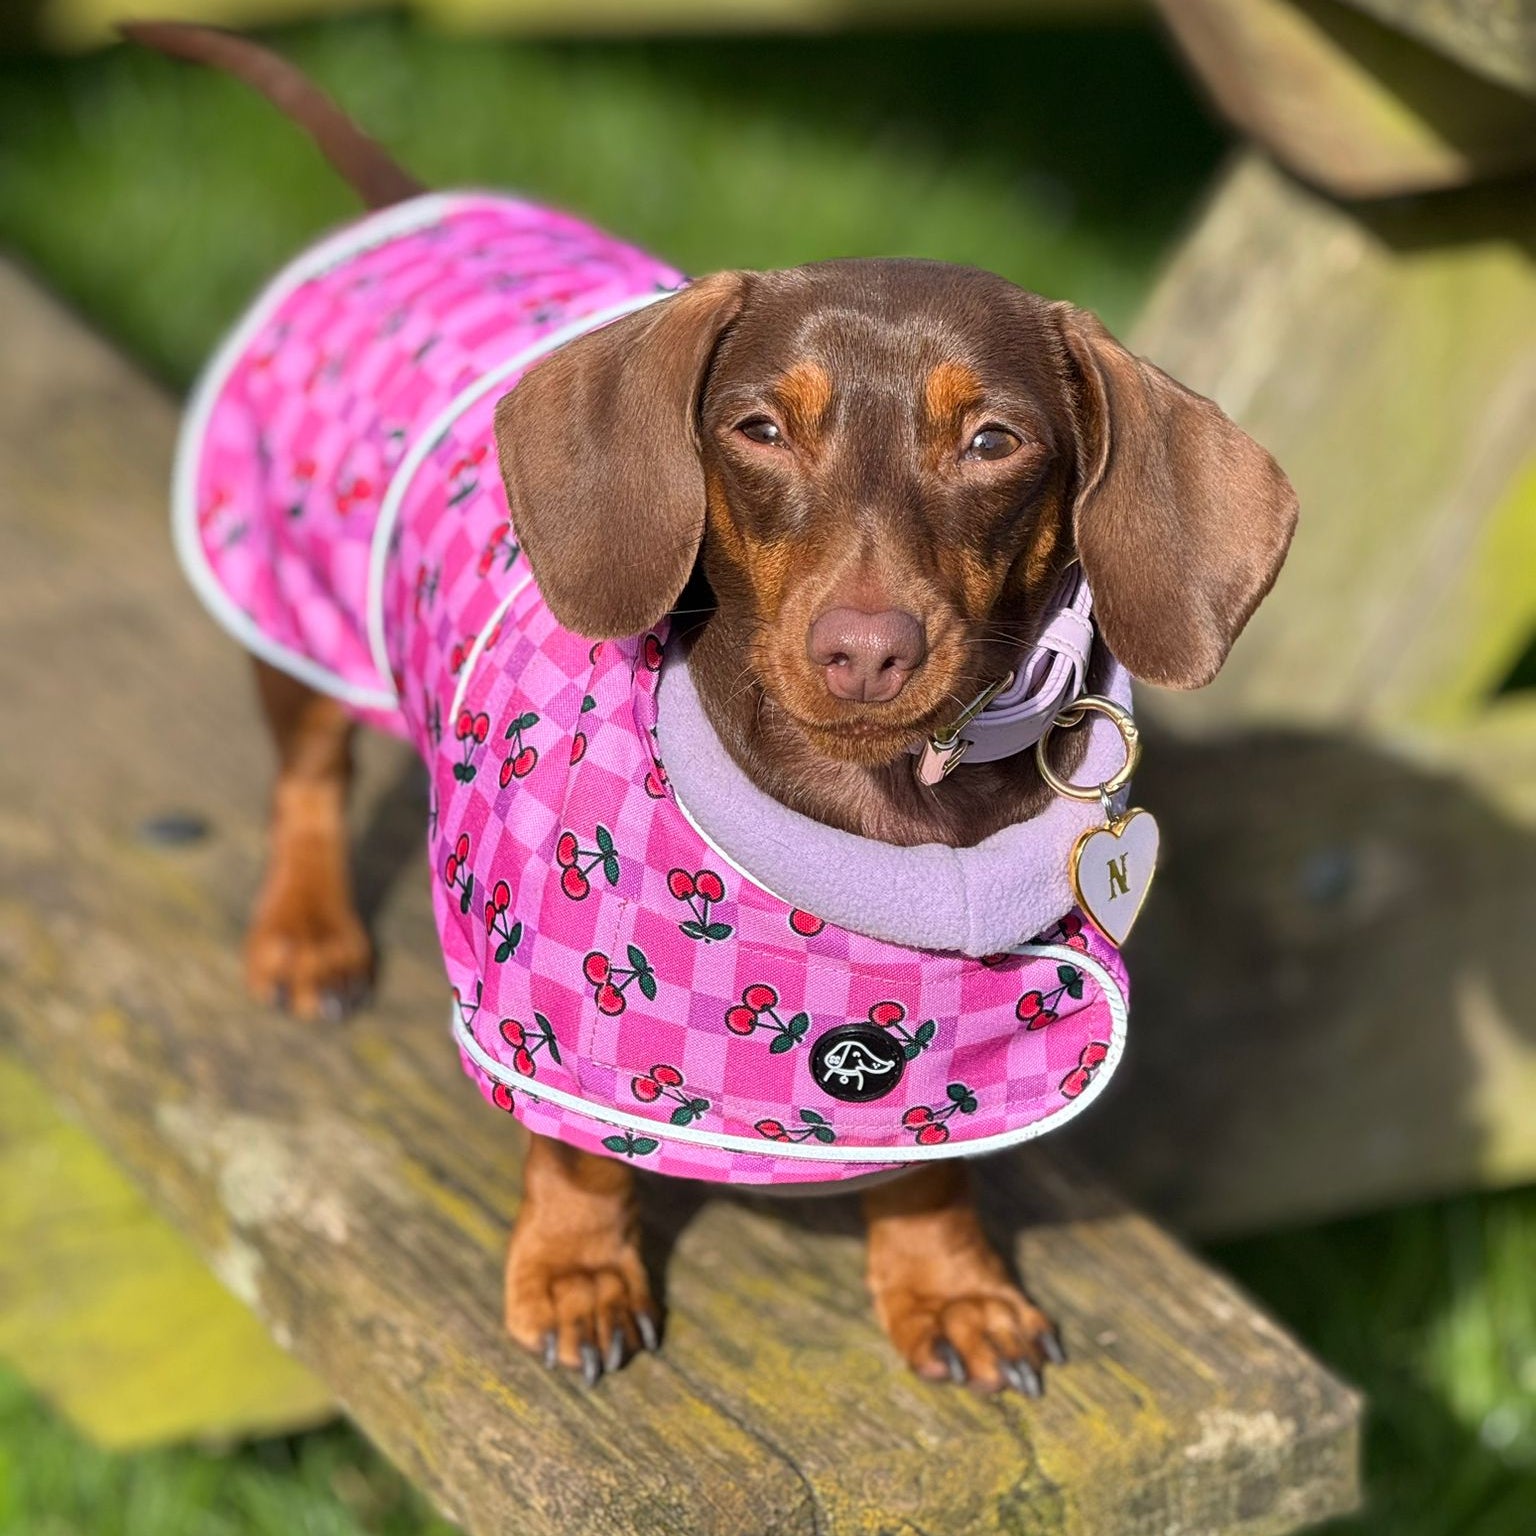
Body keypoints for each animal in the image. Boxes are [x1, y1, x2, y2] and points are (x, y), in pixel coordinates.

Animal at [130, 21, 1296, 1396]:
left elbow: (934, 1162)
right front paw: (579, 1273)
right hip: (299, 595)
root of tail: (420, 205)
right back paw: (308, 935)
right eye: (759, 427)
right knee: (307, 777)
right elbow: (575, 1145)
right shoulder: (546, 1015)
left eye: (995, 441)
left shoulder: (966, 1059)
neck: (882, 827)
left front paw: (950, 1288)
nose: (863, 652)